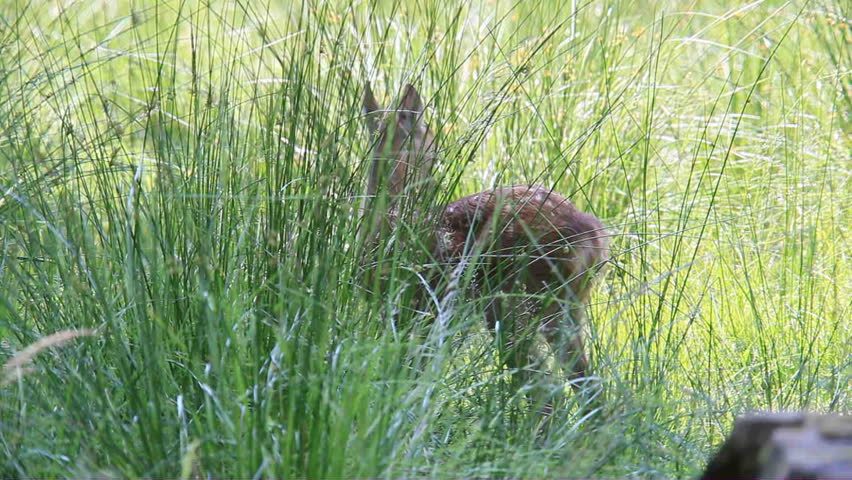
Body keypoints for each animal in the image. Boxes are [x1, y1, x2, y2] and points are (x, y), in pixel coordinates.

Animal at [360, 82, 609, 407]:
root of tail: (591, 234)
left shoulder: (415, 308)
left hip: (513, 298)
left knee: (544, 389)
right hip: (562, 307)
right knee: (589, 390)